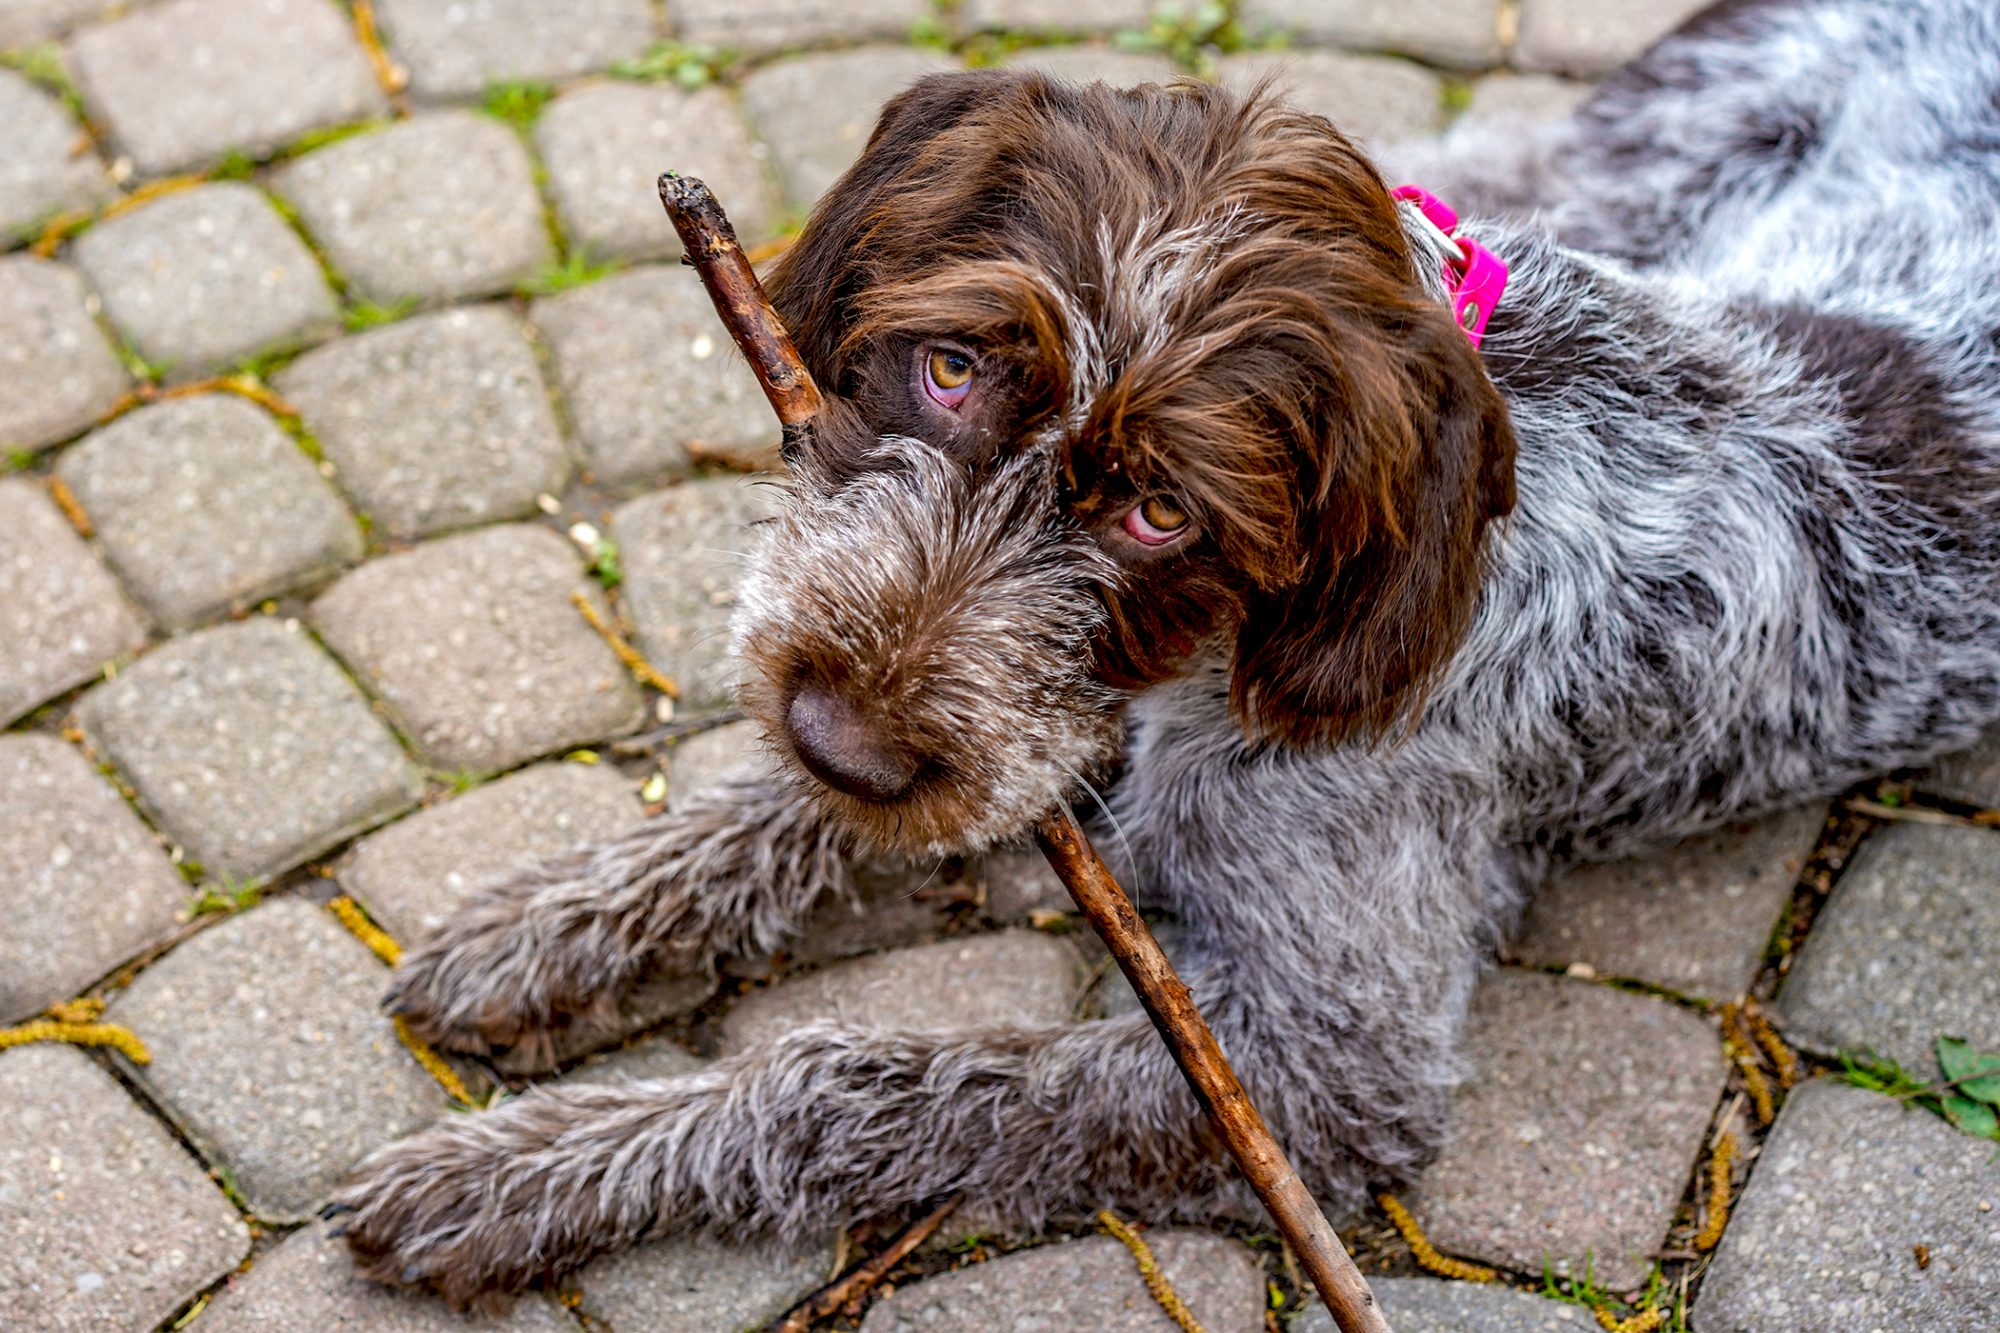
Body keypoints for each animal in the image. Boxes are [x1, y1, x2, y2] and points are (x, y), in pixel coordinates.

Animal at [333, 0, 2000, 1305]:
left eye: (1159, 512)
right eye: (951, 367)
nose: (842, 738)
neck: (1224, 650)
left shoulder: (1321, 1079)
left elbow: (851, 1076)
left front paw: (538, 1170)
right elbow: (786, 814)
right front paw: (562, 922)